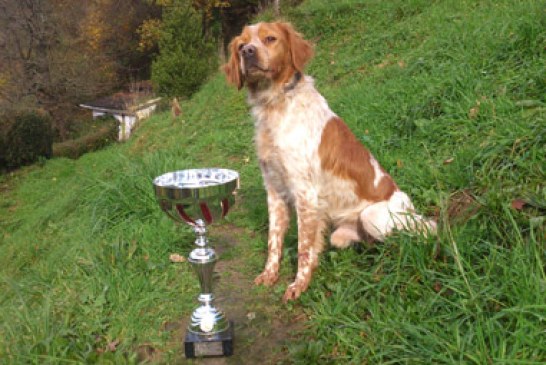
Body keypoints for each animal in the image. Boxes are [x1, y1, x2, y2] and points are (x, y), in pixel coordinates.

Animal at [221, 22, 434, 302]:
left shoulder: (305, 192)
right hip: (340, 235)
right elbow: (274, 240)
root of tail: (409, 206)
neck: (274, 103)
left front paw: (298, 285)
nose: (248, 52)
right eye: (240, 45)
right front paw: (269, 275)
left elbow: (304, 247)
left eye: (270, 39)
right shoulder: (274, 190)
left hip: (373, 216)